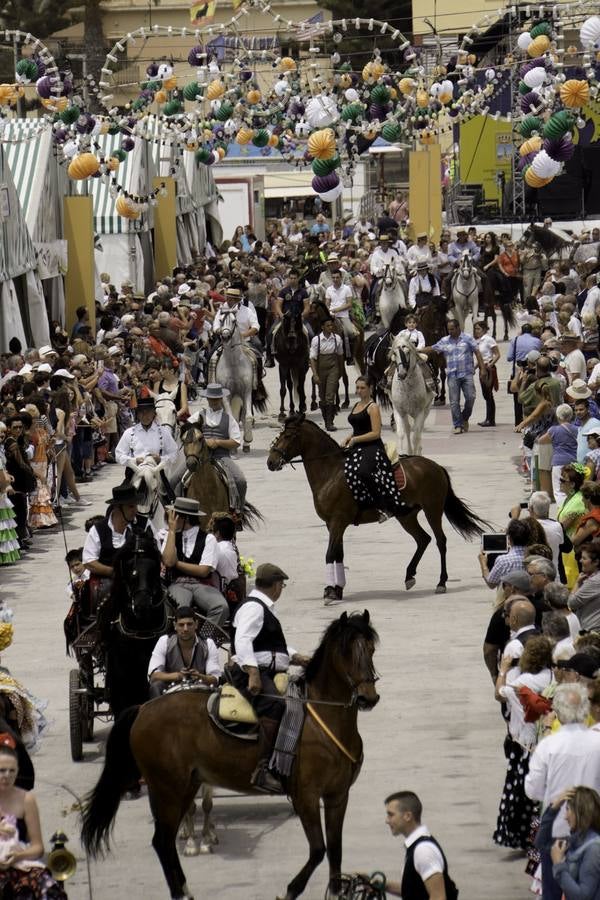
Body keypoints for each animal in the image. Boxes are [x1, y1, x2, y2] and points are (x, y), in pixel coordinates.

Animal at [81, 608, 380, 896]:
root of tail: (143, 708)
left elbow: (336, 850)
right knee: (163, 841)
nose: (369, 698)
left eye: (371, 648)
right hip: (167, 789)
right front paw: (290, 891)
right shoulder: (305, 796)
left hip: (185, 786)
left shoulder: (337, 796)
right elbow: (319, 850)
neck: (322, 719)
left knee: (167, 837)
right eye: (346, 651)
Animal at [212, 308, 266, 450]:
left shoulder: (246, 391)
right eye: (220, 320)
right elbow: (231, 417)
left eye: (234, 320)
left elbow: (247, 417)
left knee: (242, 415)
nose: (225, 336)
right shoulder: (226, 394)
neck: (233, 364)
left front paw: (247, 441)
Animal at [268, 418, 488, 600]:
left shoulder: (338, 521)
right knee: (423, 539)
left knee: (440, 541)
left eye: (288, 436)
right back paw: (409, 575)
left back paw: (441, 582)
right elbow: (339, 554)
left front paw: (330, 591)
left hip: (432, 510)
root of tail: (436, 466)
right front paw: (338, 590)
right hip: (406, 516)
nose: (270, 462)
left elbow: (330, 554)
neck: (331, 472)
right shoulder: (333, 524)